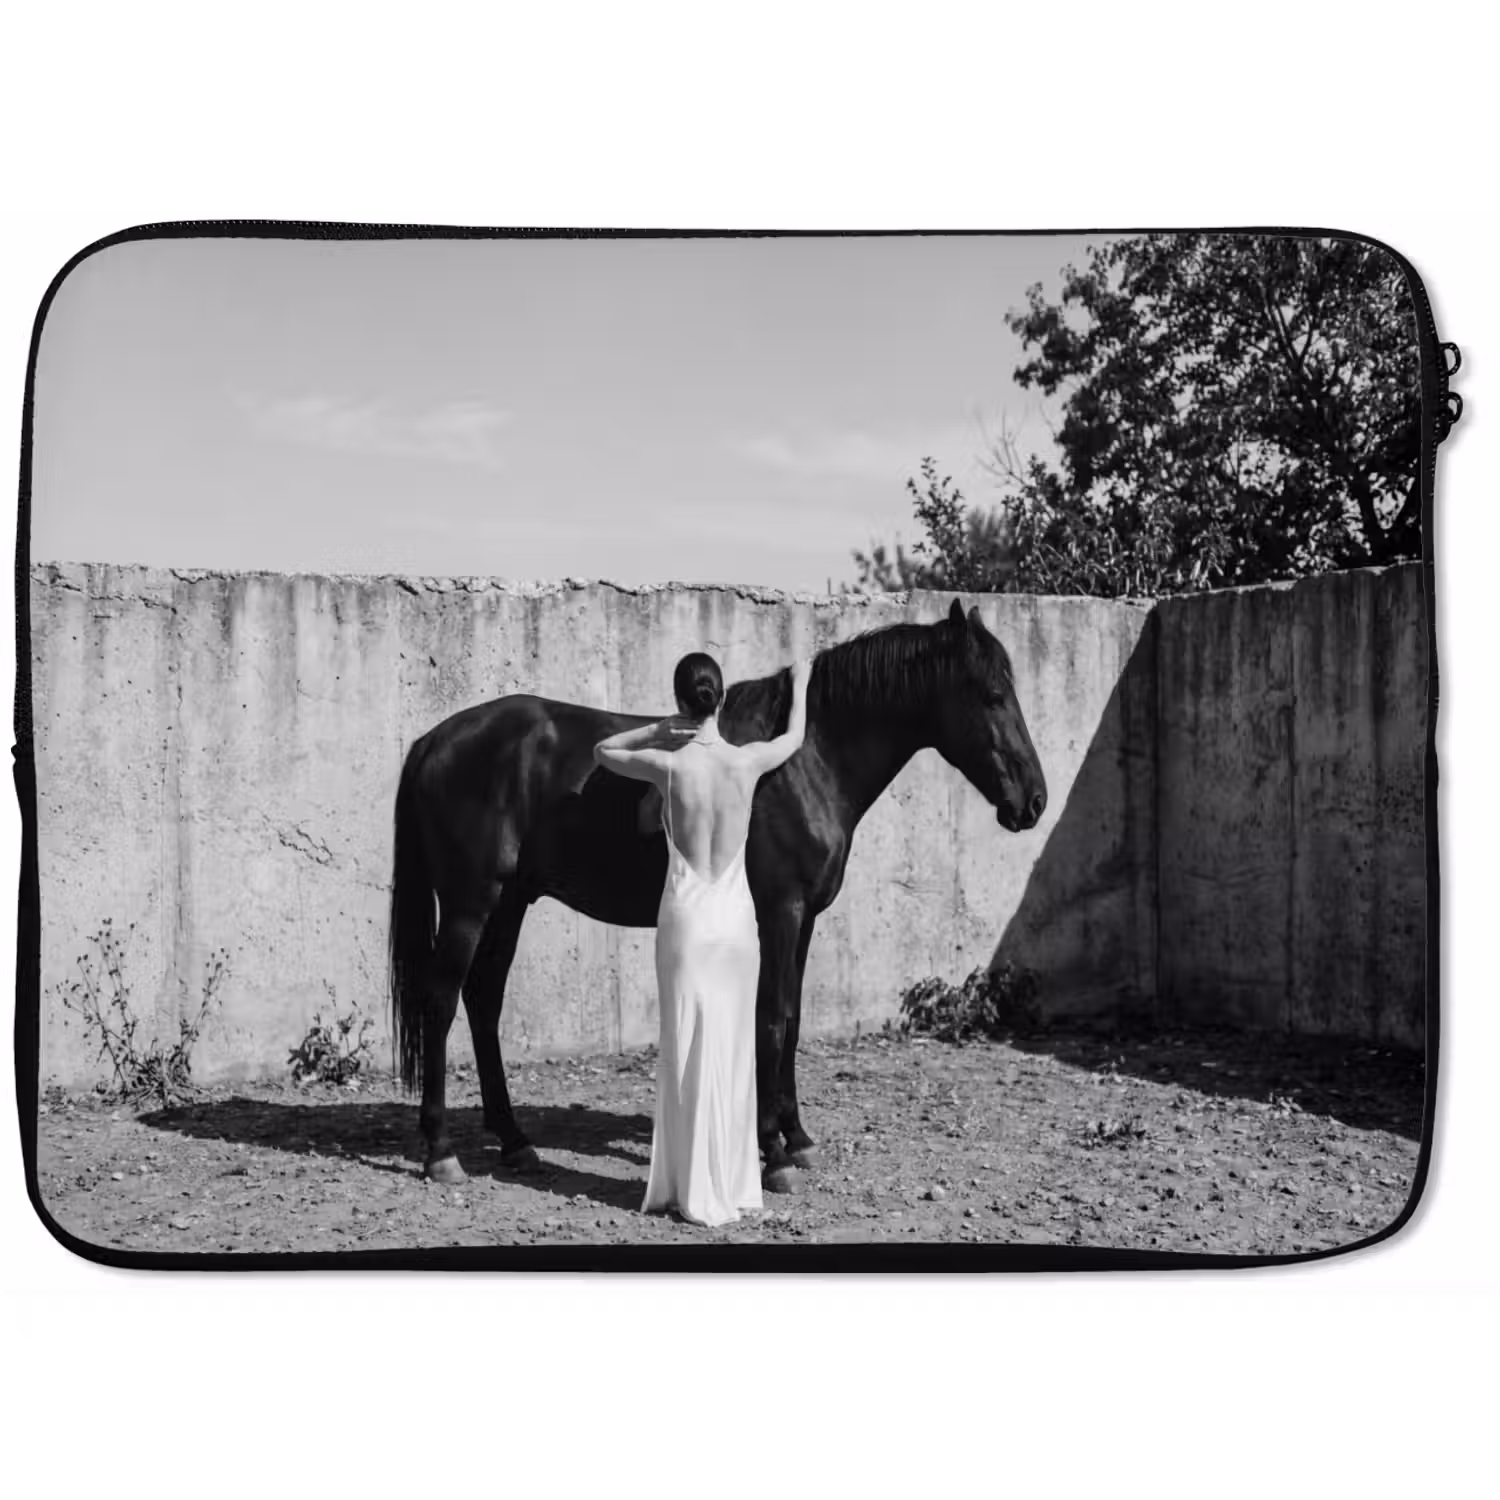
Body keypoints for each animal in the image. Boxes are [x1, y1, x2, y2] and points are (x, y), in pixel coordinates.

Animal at [387, 596, 1047, 1193]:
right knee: (442, 1001)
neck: (805, 762)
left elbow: (792, 1018)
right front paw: (774, 1152)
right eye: (992, 695)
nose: (1034, 801)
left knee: (484, 1001)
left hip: (510, 903)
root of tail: (433, 740)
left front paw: (796, 1137)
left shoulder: (804, 919)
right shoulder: (781, 912)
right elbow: (772, 1019)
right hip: (470, 905)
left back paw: (516, 1142)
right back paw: (441, 1151)